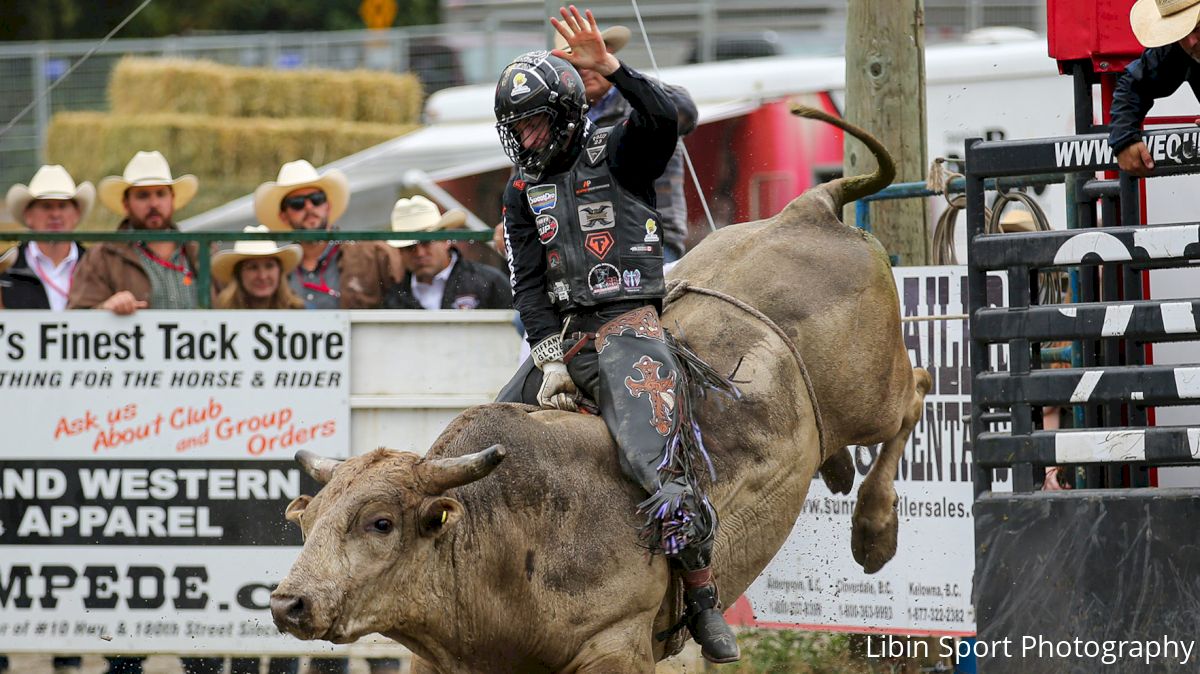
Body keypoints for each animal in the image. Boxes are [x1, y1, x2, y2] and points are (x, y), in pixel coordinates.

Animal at [270, 107, 926, 666]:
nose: (287, 602)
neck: (503, 533)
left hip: (871, 392)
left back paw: (874, 530)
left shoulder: (615, 644)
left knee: (912, 395)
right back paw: (838, 472)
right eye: (309, 519)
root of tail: (808, 208)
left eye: (380, 522)